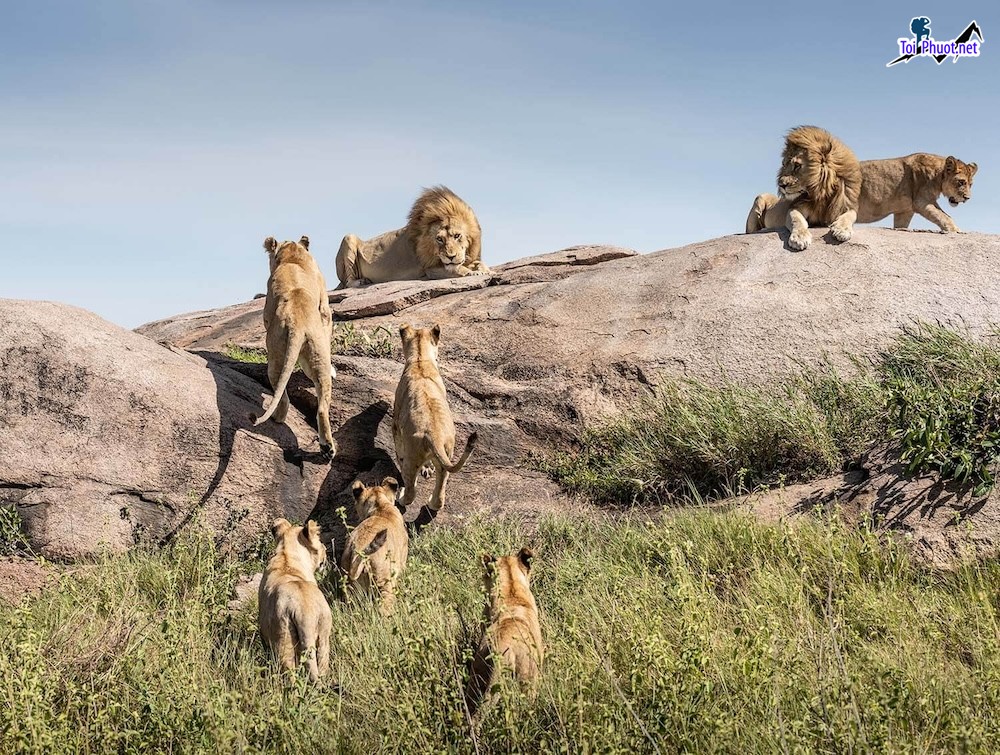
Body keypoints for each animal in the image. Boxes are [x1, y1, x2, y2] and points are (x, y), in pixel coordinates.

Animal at [254, 236, 336, 460]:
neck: (293, 257)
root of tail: (298, 324)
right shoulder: (325, 309)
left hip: (276, 355)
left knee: (282, 396)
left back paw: (277, 418)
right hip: (317, 352)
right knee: (322, 406)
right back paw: (327, 448)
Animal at [336, 185, 492, 288]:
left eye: (457, 236)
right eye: (439, 239)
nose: (450, 257)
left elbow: (477, 263)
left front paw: (486, 270)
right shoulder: (430, 269)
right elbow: (457, 269)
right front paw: (472, 273)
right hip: (348, 238)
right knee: (348, 283)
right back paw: (360, 281)